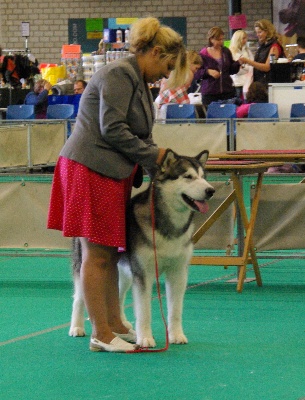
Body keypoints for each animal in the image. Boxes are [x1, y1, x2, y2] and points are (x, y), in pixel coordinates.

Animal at [70, 149, 215, 346]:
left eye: (203, 177)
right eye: (188, 177)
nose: (211, 190)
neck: (169, 226)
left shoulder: (178, 271)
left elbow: (175, 309)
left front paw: (176, 335)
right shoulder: (144, 272)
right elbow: (144, 310)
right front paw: (145, 338)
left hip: (123, 270)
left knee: (118, 295)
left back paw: (122, 325)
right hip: (87, 263)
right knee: (79, 298)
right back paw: (76, 327)